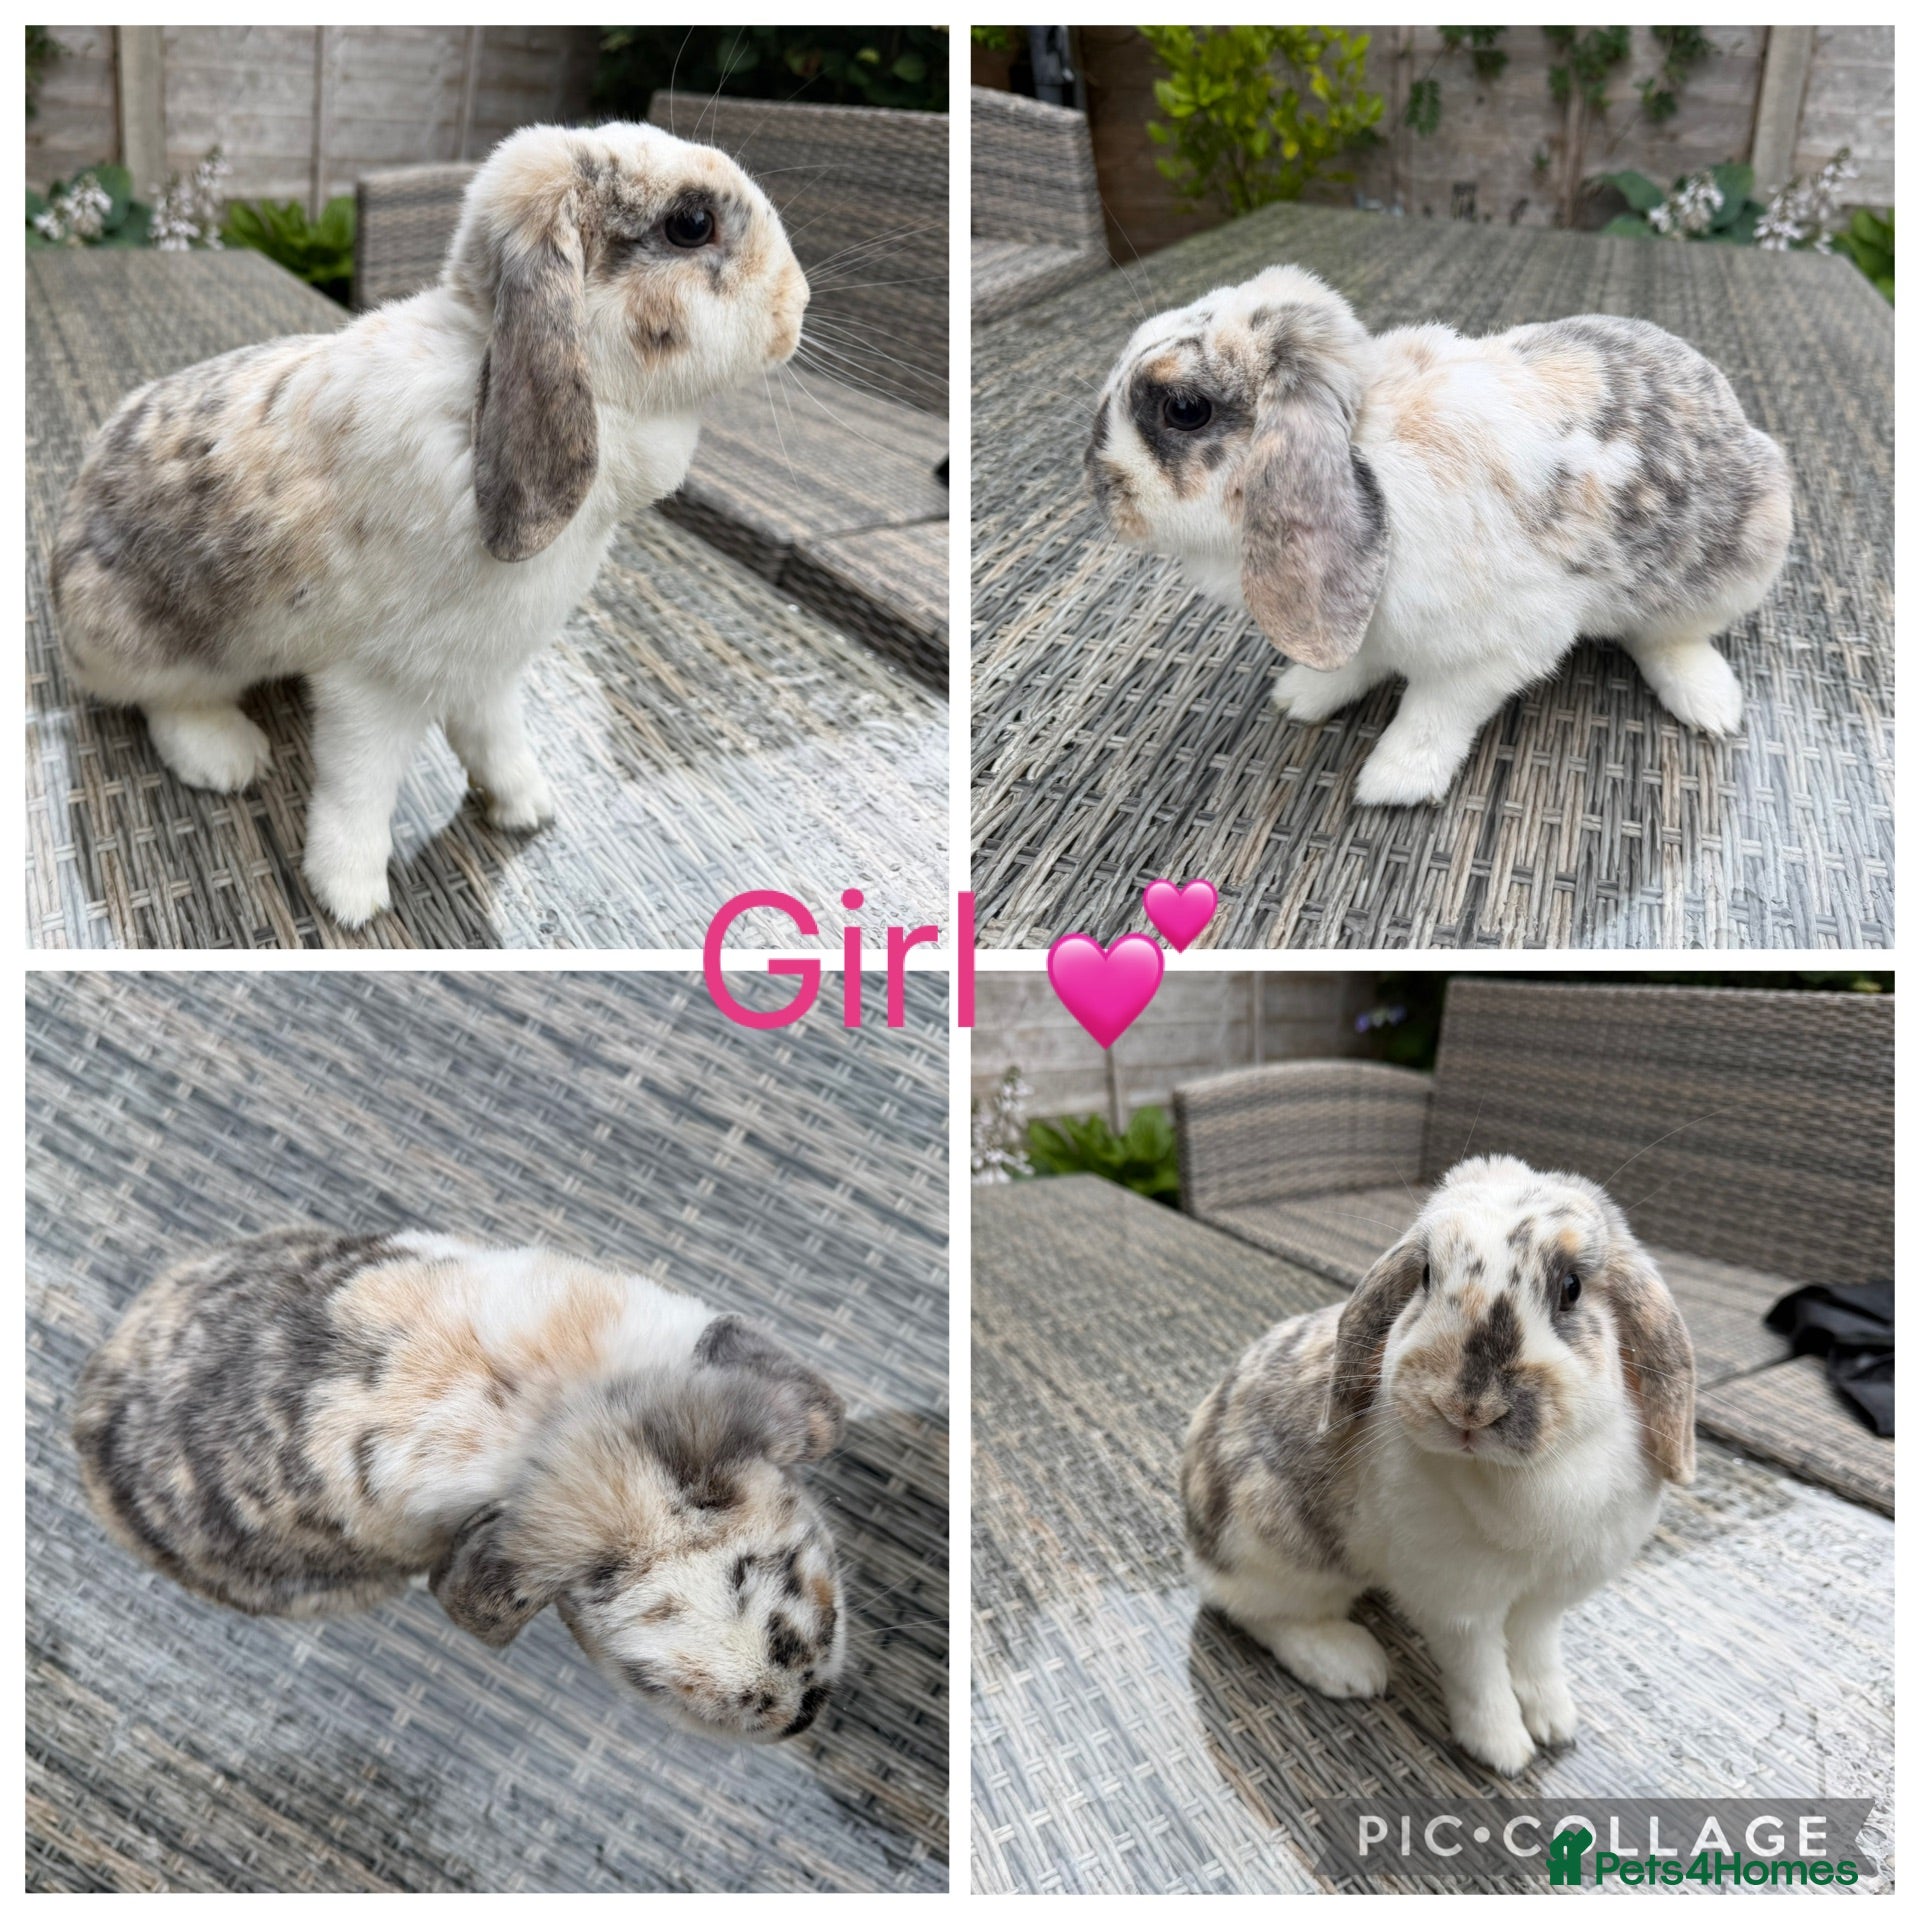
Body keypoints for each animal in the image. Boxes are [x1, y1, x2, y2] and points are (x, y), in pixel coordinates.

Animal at [51, 120, 809, 925]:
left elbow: (496, 743)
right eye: (691, 224)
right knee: (163, 702)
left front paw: (527, 808)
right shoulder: (372, 684)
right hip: (152, 646)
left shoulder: (487, 670)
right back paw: (227, 757)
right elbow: (359, 787)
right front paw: (349, 896)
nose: (799, 303)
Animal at [1087, 265, 1793, 805]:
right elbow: (1354, 665)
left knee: (1670, 638)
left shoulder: (1489, 656)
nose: (1101, 488)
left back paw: (1711, 706)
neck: (1363, 441)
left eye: (1184, 410)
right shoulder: (1361, 625)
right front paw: (1302, 696)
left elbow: (1431, 718)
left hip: (1735, 566)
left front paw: (1390, 783)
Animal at [1180, 1155, 1696, 1775]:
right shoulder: (1459, 1606)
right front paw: (1504, 1750)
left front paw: (1555, 1723)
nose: (1468, 1407)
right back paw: (1351, 1665)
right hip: (1277, 1554)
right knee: (1255, 1612)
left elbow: (1536, 1657)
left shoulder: (1545, 1600)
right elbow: (1480, 1677)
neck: (1526, 1478)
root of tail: (1196, 1535)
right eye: (1425, 1274)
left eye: (1571, 1288)